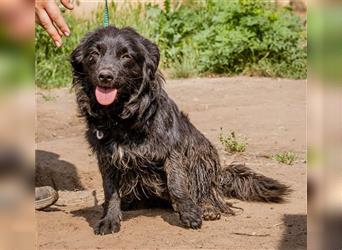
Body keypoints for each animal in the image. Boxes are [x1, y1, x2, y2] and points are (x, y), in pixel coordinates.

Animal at [71, 26, 290, 235]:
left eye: (126, 56)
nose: (105, 76)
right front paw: (109, 219)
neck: (120, 118)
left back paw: (208, 207)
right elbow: (110, 191)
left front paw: (189, 212)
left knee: (207, 191)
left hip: (202, 154)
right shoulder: (107, 157)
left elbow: (177, 184)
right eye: (94, 54)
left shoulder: (173, 150)